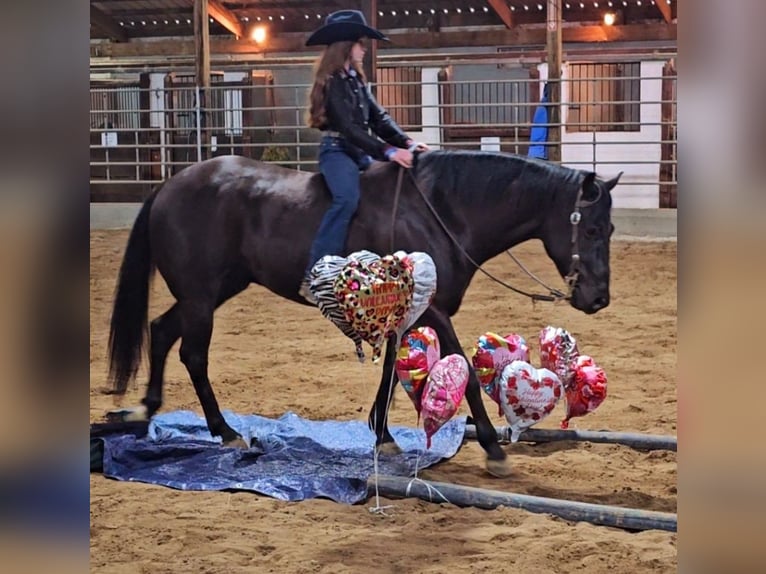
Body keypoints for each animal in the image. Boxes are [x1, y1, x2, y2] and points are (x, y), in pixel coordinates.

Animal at [107, 149, 620, 477]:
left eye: (611, 228)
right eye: (592, 228)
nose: (598, 298)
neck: (441, 212)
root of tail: (170, 185)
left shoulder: (404, 315)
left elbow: (391, 372)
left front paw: (382, 434)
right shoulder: (433, 311)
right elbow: (468, 376)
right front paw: (494, 449)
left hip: (213, 291)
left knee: (161, 331)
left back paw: (147, 409)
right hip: (201, 296)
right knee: (193, 354)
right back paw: (226, 431)